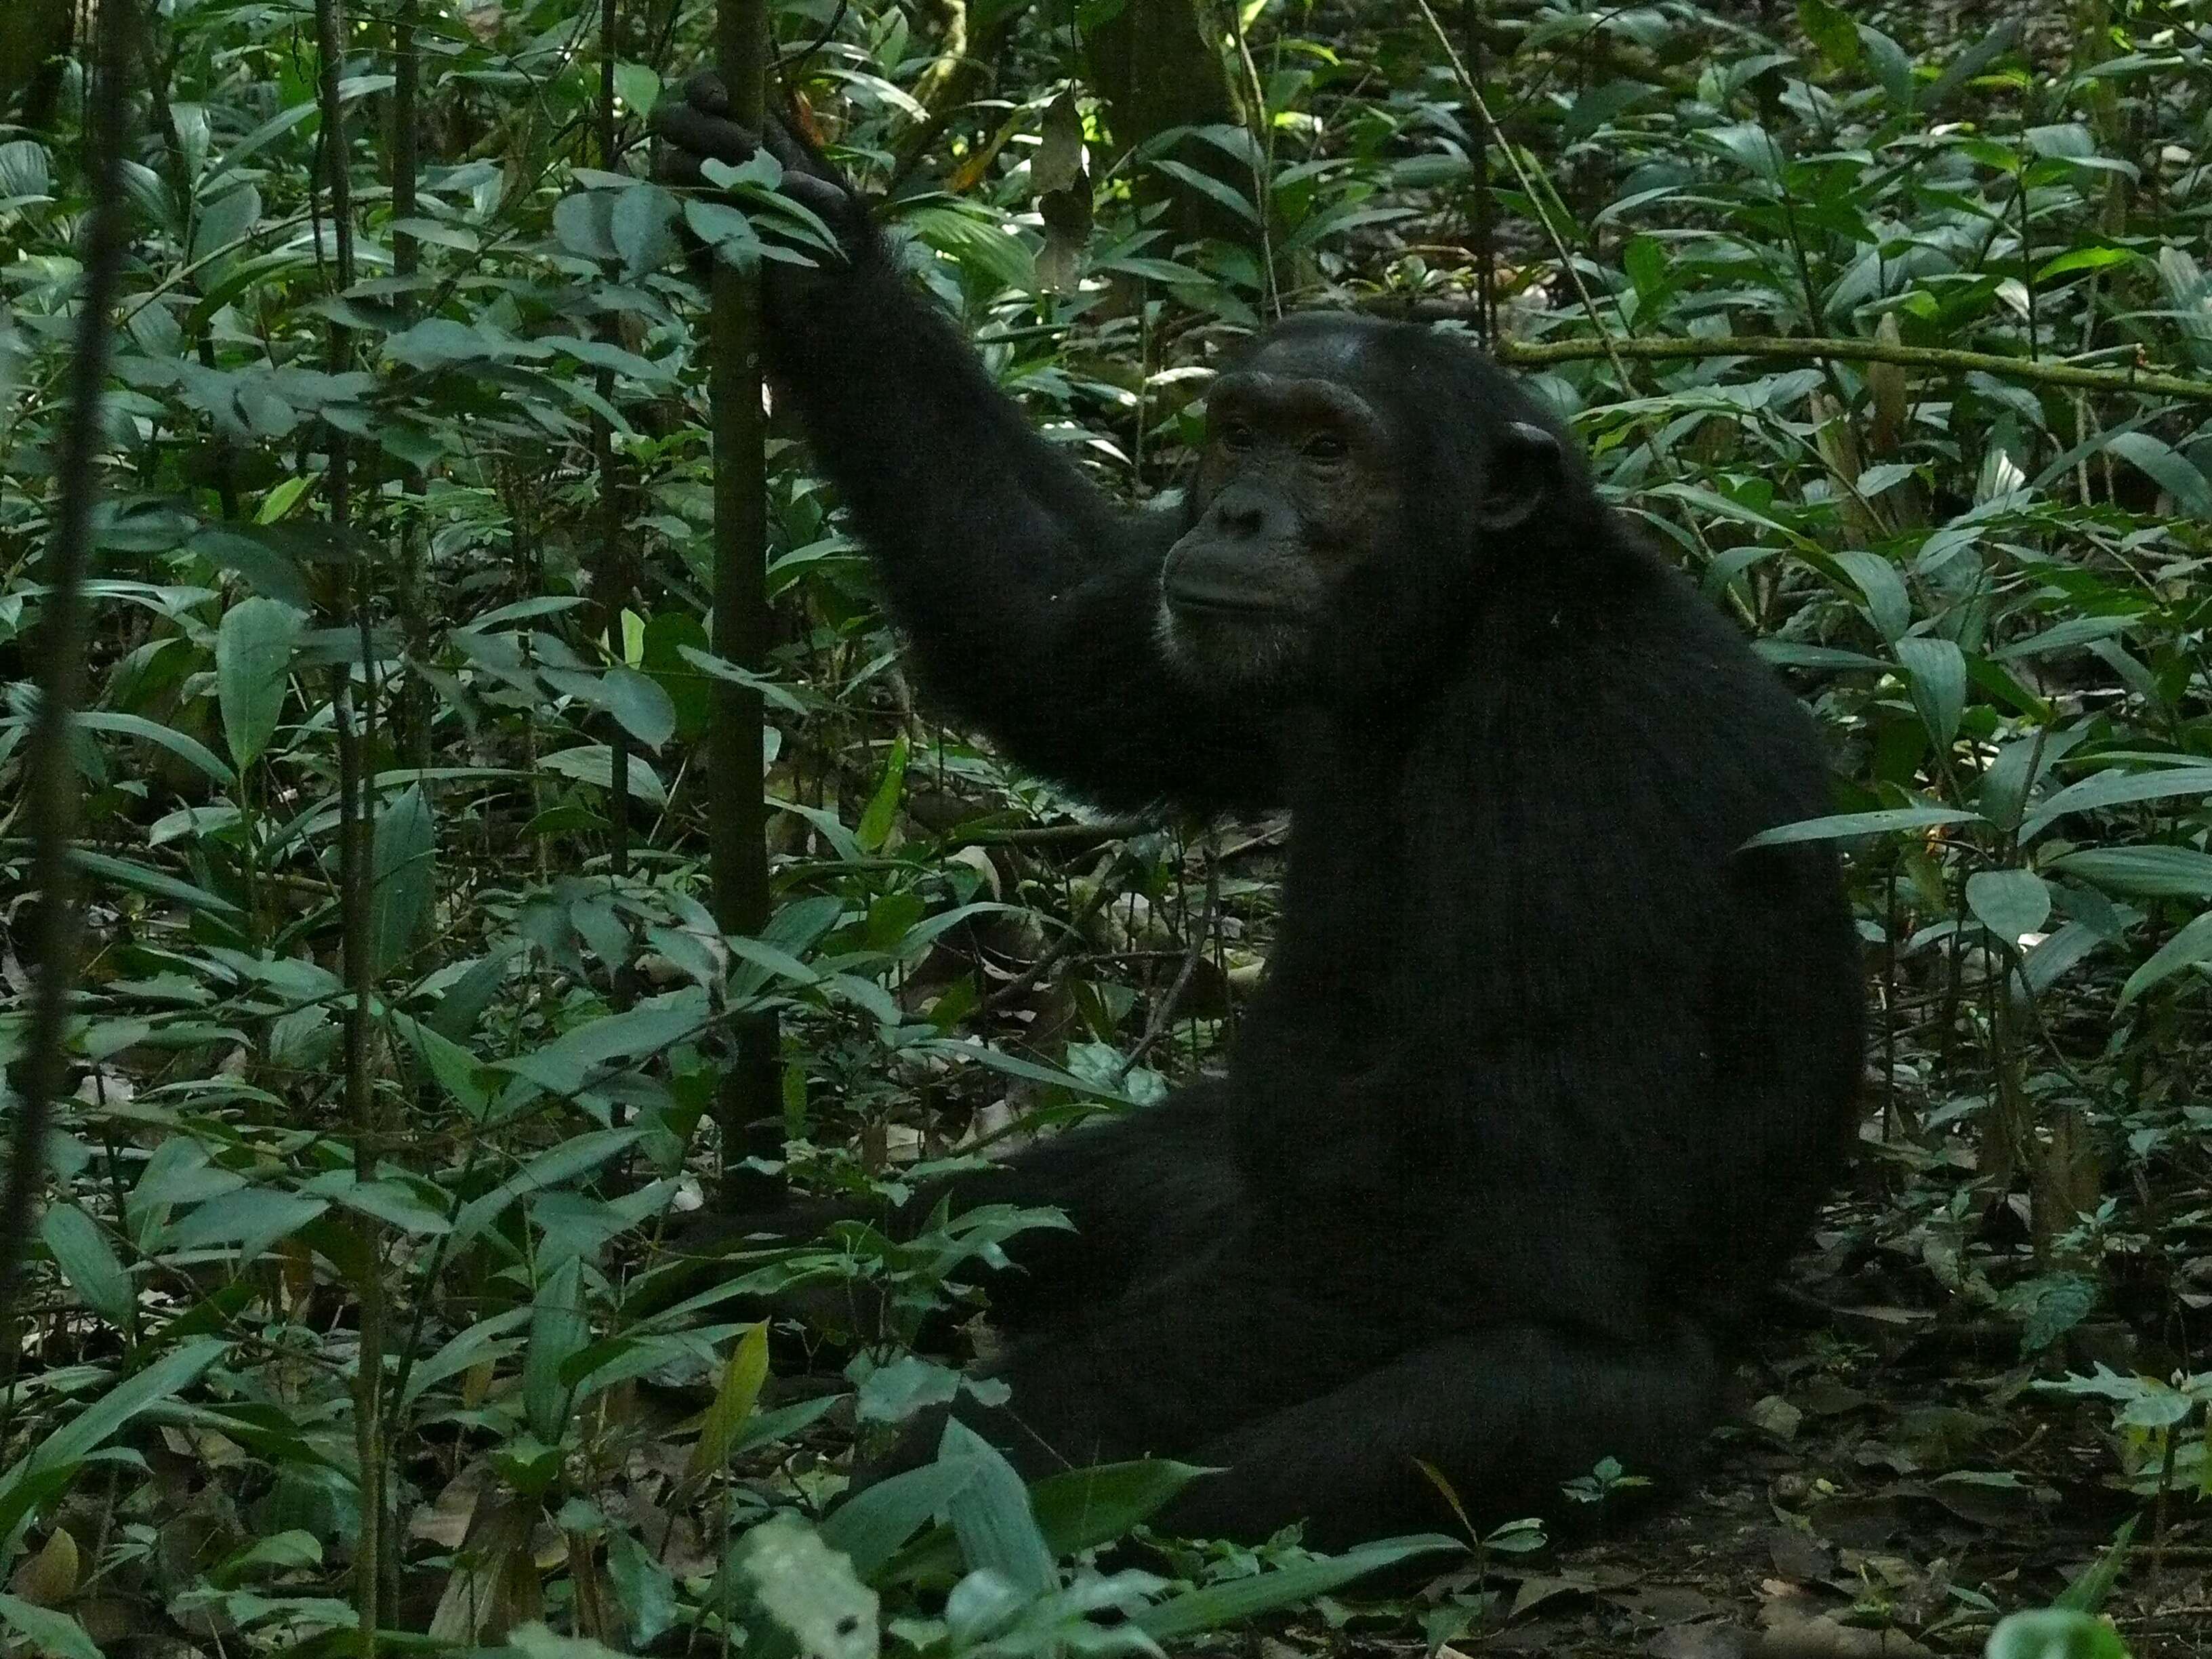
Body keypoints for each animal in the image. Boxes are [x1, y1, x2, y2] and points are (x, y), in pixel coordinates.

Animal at [655, 78, 1866, 1557]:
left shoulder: (1581, 768)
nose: (1237, 510)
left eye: (1330, 450)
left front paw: (951, 1462)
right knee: (1127, 1177)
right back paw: (767, 1271)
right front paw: (798, 226)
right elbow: (1058, 641)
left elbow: (1495, 1211)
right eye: (1239, 429)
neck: (1461, 629)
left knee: (1520, 1390)